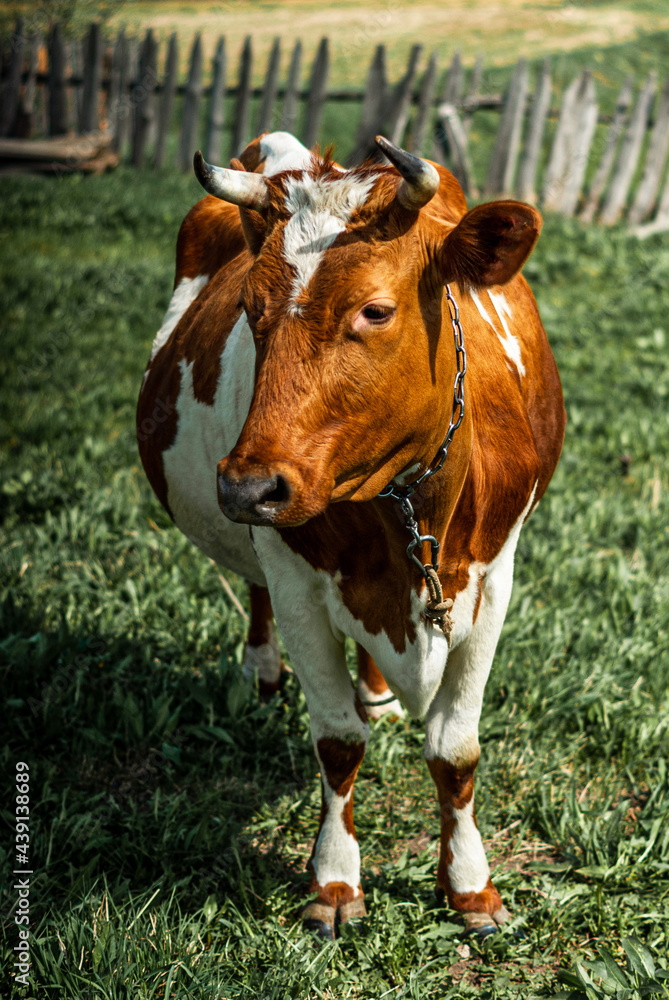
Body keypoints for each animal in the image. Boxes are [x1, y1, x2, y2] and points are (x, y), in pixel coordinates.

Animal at [137, 130, 565, 940]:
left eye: (374, 310)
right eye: (248, 308)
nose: (246, 486)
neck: (404, 506)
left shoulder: (494, 577)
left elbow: (456, 749)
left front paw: (470, 885)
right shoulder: (297, 579)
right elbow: (337, 741)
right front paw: (335, 881)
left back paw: (378, 692)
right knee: (256, 590)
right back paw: (260, 671)